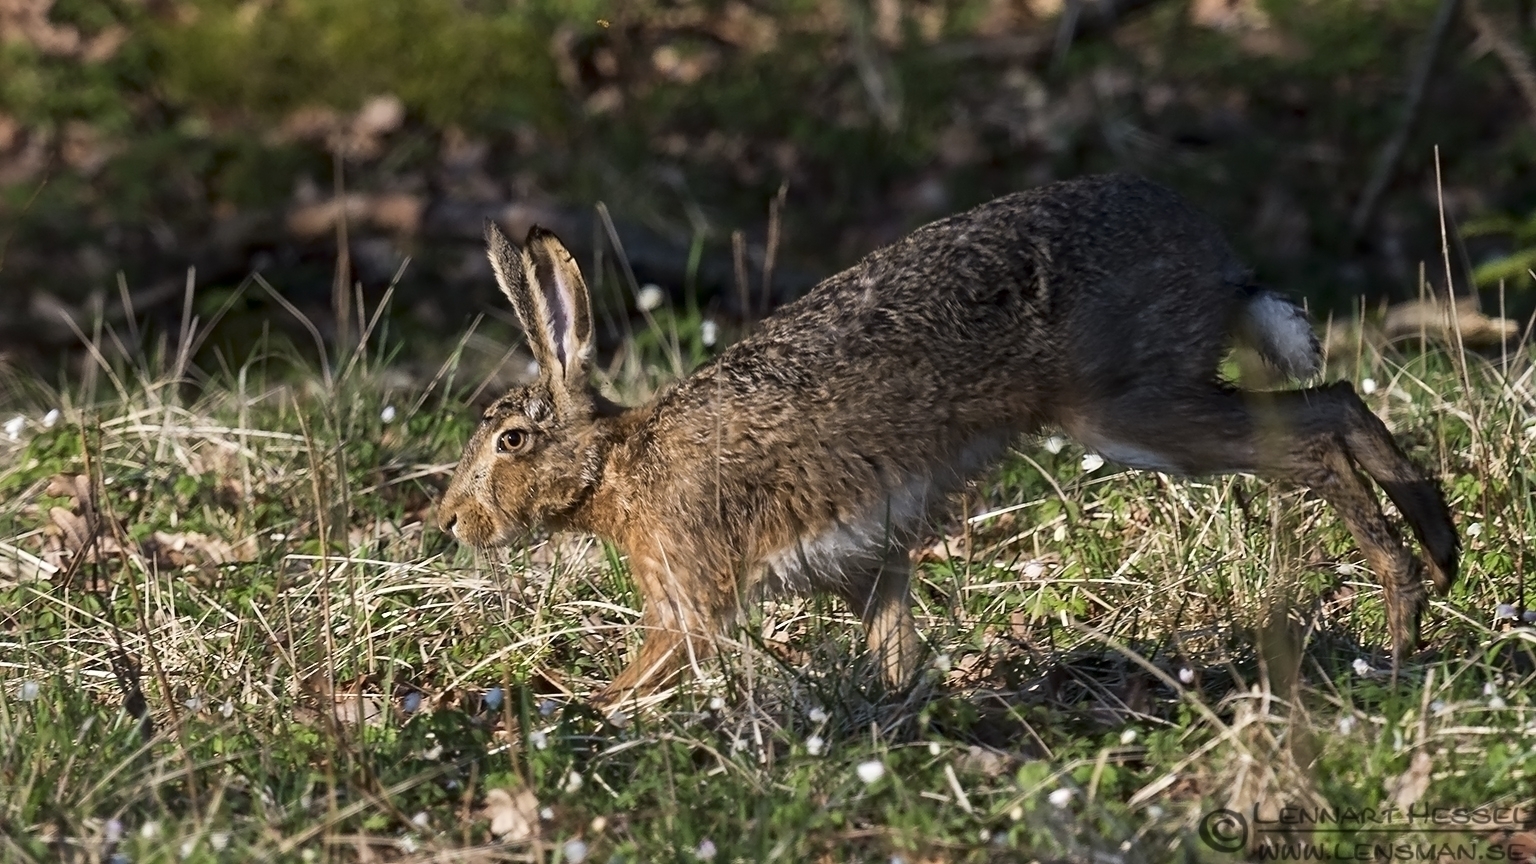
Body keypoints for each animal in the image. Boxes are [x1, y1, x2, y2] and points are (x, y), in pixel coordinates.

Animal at [437, 173, 1457, 706]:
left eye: (513, 440)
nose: (448, 522)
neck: (617, 465)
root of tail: (1212, 253)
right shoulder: (873, 564)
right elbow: (893, 644)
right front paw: (903, 706)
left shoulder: (687, 592)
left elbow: (654, 660)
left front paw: (585, 712)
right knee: (1336, 401)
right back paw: (1441, 560)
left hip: (1130, 411)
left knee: (1314, 439)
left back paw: (1404, 617)